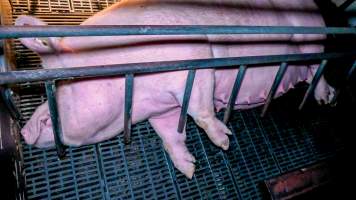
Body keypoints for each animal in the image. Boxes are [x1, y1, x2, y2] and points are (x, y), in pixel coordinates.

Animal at [16, 0, 334, 178]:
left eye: (58, 84)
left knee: (318, 68)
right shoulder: (162, 110)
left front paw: (224, 142)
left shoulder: (195, 57)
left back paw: (326, 100)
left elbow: (201, 111)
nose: (23, 132)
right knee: (309, 72)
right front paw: (189, 170)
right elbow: (170, 136)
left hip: (309, 37)